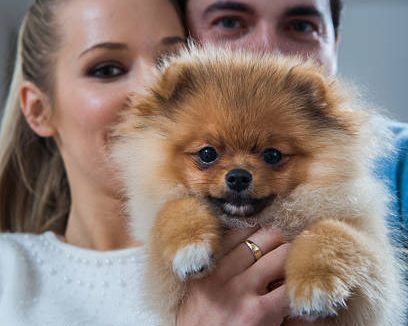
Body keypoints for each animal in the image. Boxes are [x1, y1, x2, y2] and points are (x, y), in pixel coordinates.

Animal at [108, 46, 404, 326]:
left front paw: (315, 286)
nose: (239, 176)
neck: (252, 220)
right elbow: (176, 206)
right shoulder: (167, 285)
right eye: (207, 154)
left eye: (272, 155)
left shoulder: (373, 279)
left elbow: (332, 231)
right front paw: (190, 246)